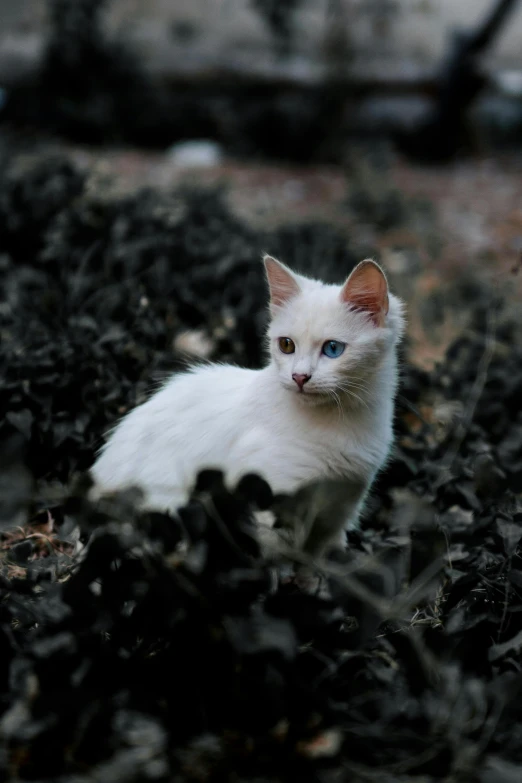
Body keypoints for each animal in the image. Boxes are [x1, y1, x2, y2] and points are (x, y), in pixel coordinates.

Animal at [91, 258, 404, 556]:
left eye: (333, 349)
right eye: (286, 345)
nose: (299, 377)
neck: (341, 420)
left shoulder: (338, 512)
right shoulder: (270, 501)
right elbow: (276, 562)